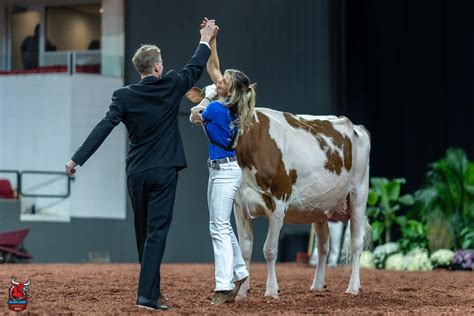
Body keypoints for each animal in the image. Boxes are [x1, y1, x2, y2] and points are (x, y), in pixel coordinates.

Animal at [187, 85, 372, 298]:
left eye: (224, 94)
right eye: (203, 93)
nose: (196, 112)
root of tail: (356, 126)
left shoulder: (279, 201)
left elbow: (270, 249)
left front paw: (271, 290)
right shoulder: (240, 204)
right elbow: (245, 248)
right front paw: (242, 292)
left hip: (358, 194)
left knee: (356, 242)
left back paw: (353, 287)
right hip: (319, 207)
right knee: (323, 246)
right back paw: (317, 285)